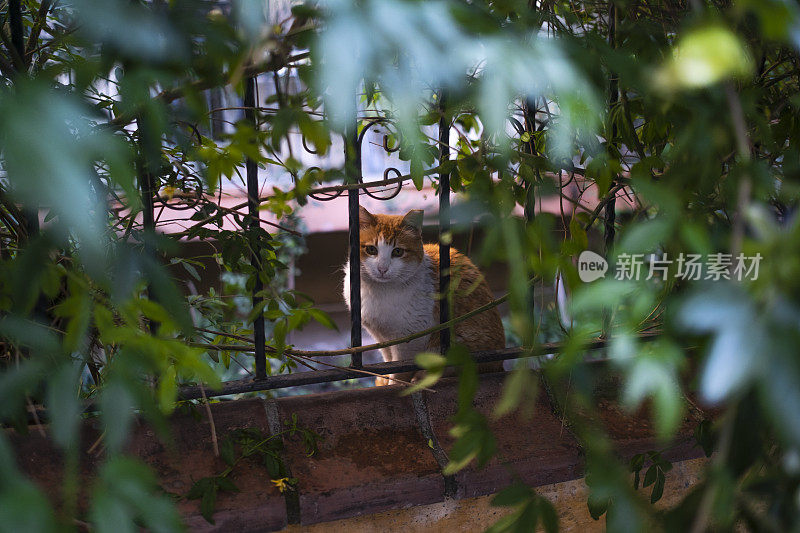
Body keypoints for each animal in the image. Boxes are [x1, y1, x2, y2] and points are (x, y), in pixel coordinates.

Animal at [342, 206, 504, 384]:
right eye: (371, 250)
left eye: (398, 252)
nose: (382, 269)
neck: (378, 291)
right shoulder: (381, 339)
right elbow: (388, 361)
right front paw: (384, 379)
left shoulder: (410, 342)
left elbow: (399, 371)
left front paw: (394, 382)